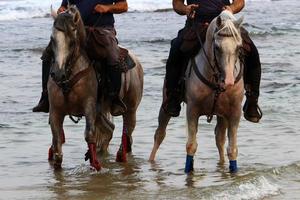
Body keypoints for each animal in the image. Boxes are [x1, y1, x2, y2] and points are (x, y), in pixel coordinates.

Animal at [48, 5, 144, 170]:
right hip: (101, 112)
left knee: (127, 132)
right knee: (110, 129)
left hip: (131, 109)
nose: (57, 74)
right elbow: (57, 143)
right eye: (52, 40)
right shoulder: (55, 111)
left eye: (72, 42)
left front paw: (96, 165)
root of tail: (136, 62)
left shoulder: (89, 107)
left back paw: (119, 156)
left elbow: (89, 135)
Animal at [150, 10, 244, 173]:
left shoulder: (234, 113)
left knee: (219, 139)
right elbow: (191, 146)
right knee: (160, 133)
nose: (229, 82)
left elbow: (232, 149)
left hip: (222, 115)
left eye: (238, 47)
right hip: (166, 103)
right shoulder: (192, 110)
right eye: (217, 47)